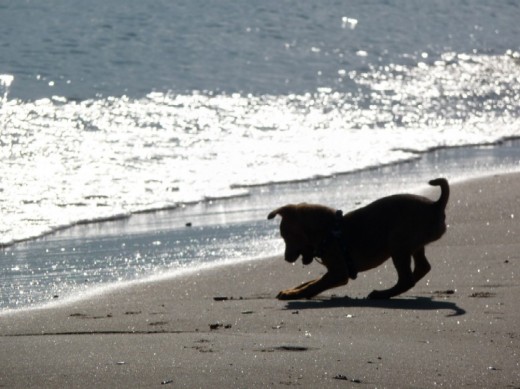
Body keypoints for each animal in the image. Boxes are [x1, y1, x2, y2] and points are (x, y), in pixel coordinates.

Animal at [266, 177, 448, 298]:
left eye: (286, 237)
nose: (286, 258)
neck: (328, 231)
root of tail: (436, 206)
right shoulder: (334, 271)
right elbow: (310, 281)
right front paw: (292, 290)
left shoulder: (339, 273)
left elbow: (314, 285)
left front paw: (295, 294)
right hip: (412, 246)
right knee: (422, 268)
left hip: (398, 245)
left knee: (407, 279)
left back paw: (381, 294)